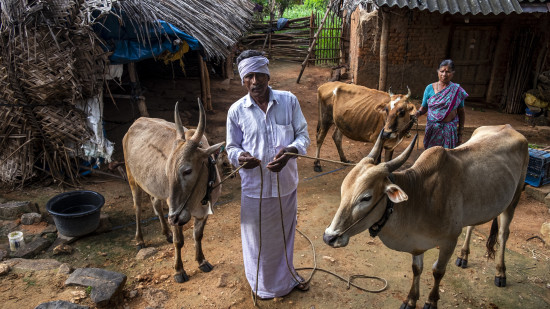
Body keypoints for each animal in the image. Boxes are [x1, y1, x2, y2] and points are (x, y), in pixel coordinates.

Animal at [123, 100, 224, 282]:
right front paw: (179, 270)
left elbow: (198, 236)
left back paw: (166, 233)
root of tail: (135, 123)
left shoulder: (204, 213)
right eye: (167, 169)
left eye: (187, 170)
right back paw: (140, 240)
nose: (174, 218)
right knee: (138, 208)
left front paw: (202, 261)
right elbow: (179, 241)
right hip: (132, 179)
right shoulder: (174, 209)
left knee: (156, 205)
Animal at [324, 124, 532, 306]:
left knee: (503, 235)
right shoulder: (418, 244)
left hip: (514, 199)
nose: (329, 237)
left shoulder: (449, 241)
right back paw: (464, 256)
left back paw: (501, 273)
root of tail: (509, 128)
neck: (420, 197)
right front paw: (410, 300)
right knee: (472, 225)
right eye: (343, 190)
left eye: (366, 197)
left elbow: (438, 271)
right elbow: (417, 269)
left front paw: (431, 301)